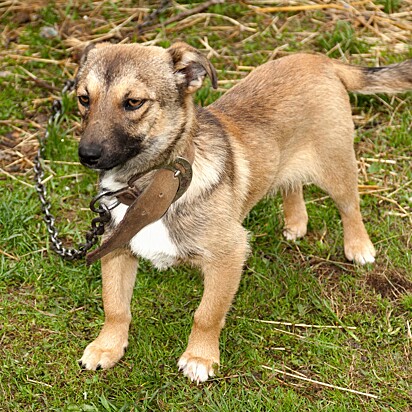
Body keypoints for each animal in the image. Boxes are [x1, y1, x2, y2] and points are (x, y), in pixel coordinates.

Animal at [75, 41, 412, 384]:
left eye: (133, 102)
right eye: (84, 98)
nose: (87, 155)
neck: (155, 185)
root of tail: (322, 60)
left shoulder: (229, 255)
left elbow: (206, 314)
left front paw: (200, 357)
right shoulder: (116, 250)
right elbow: (115, 306)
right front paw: (107, 347)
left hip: (337, 165)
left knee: (350, 206)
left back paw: (358, 246)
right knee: (292, 184)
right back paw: (296, 222)